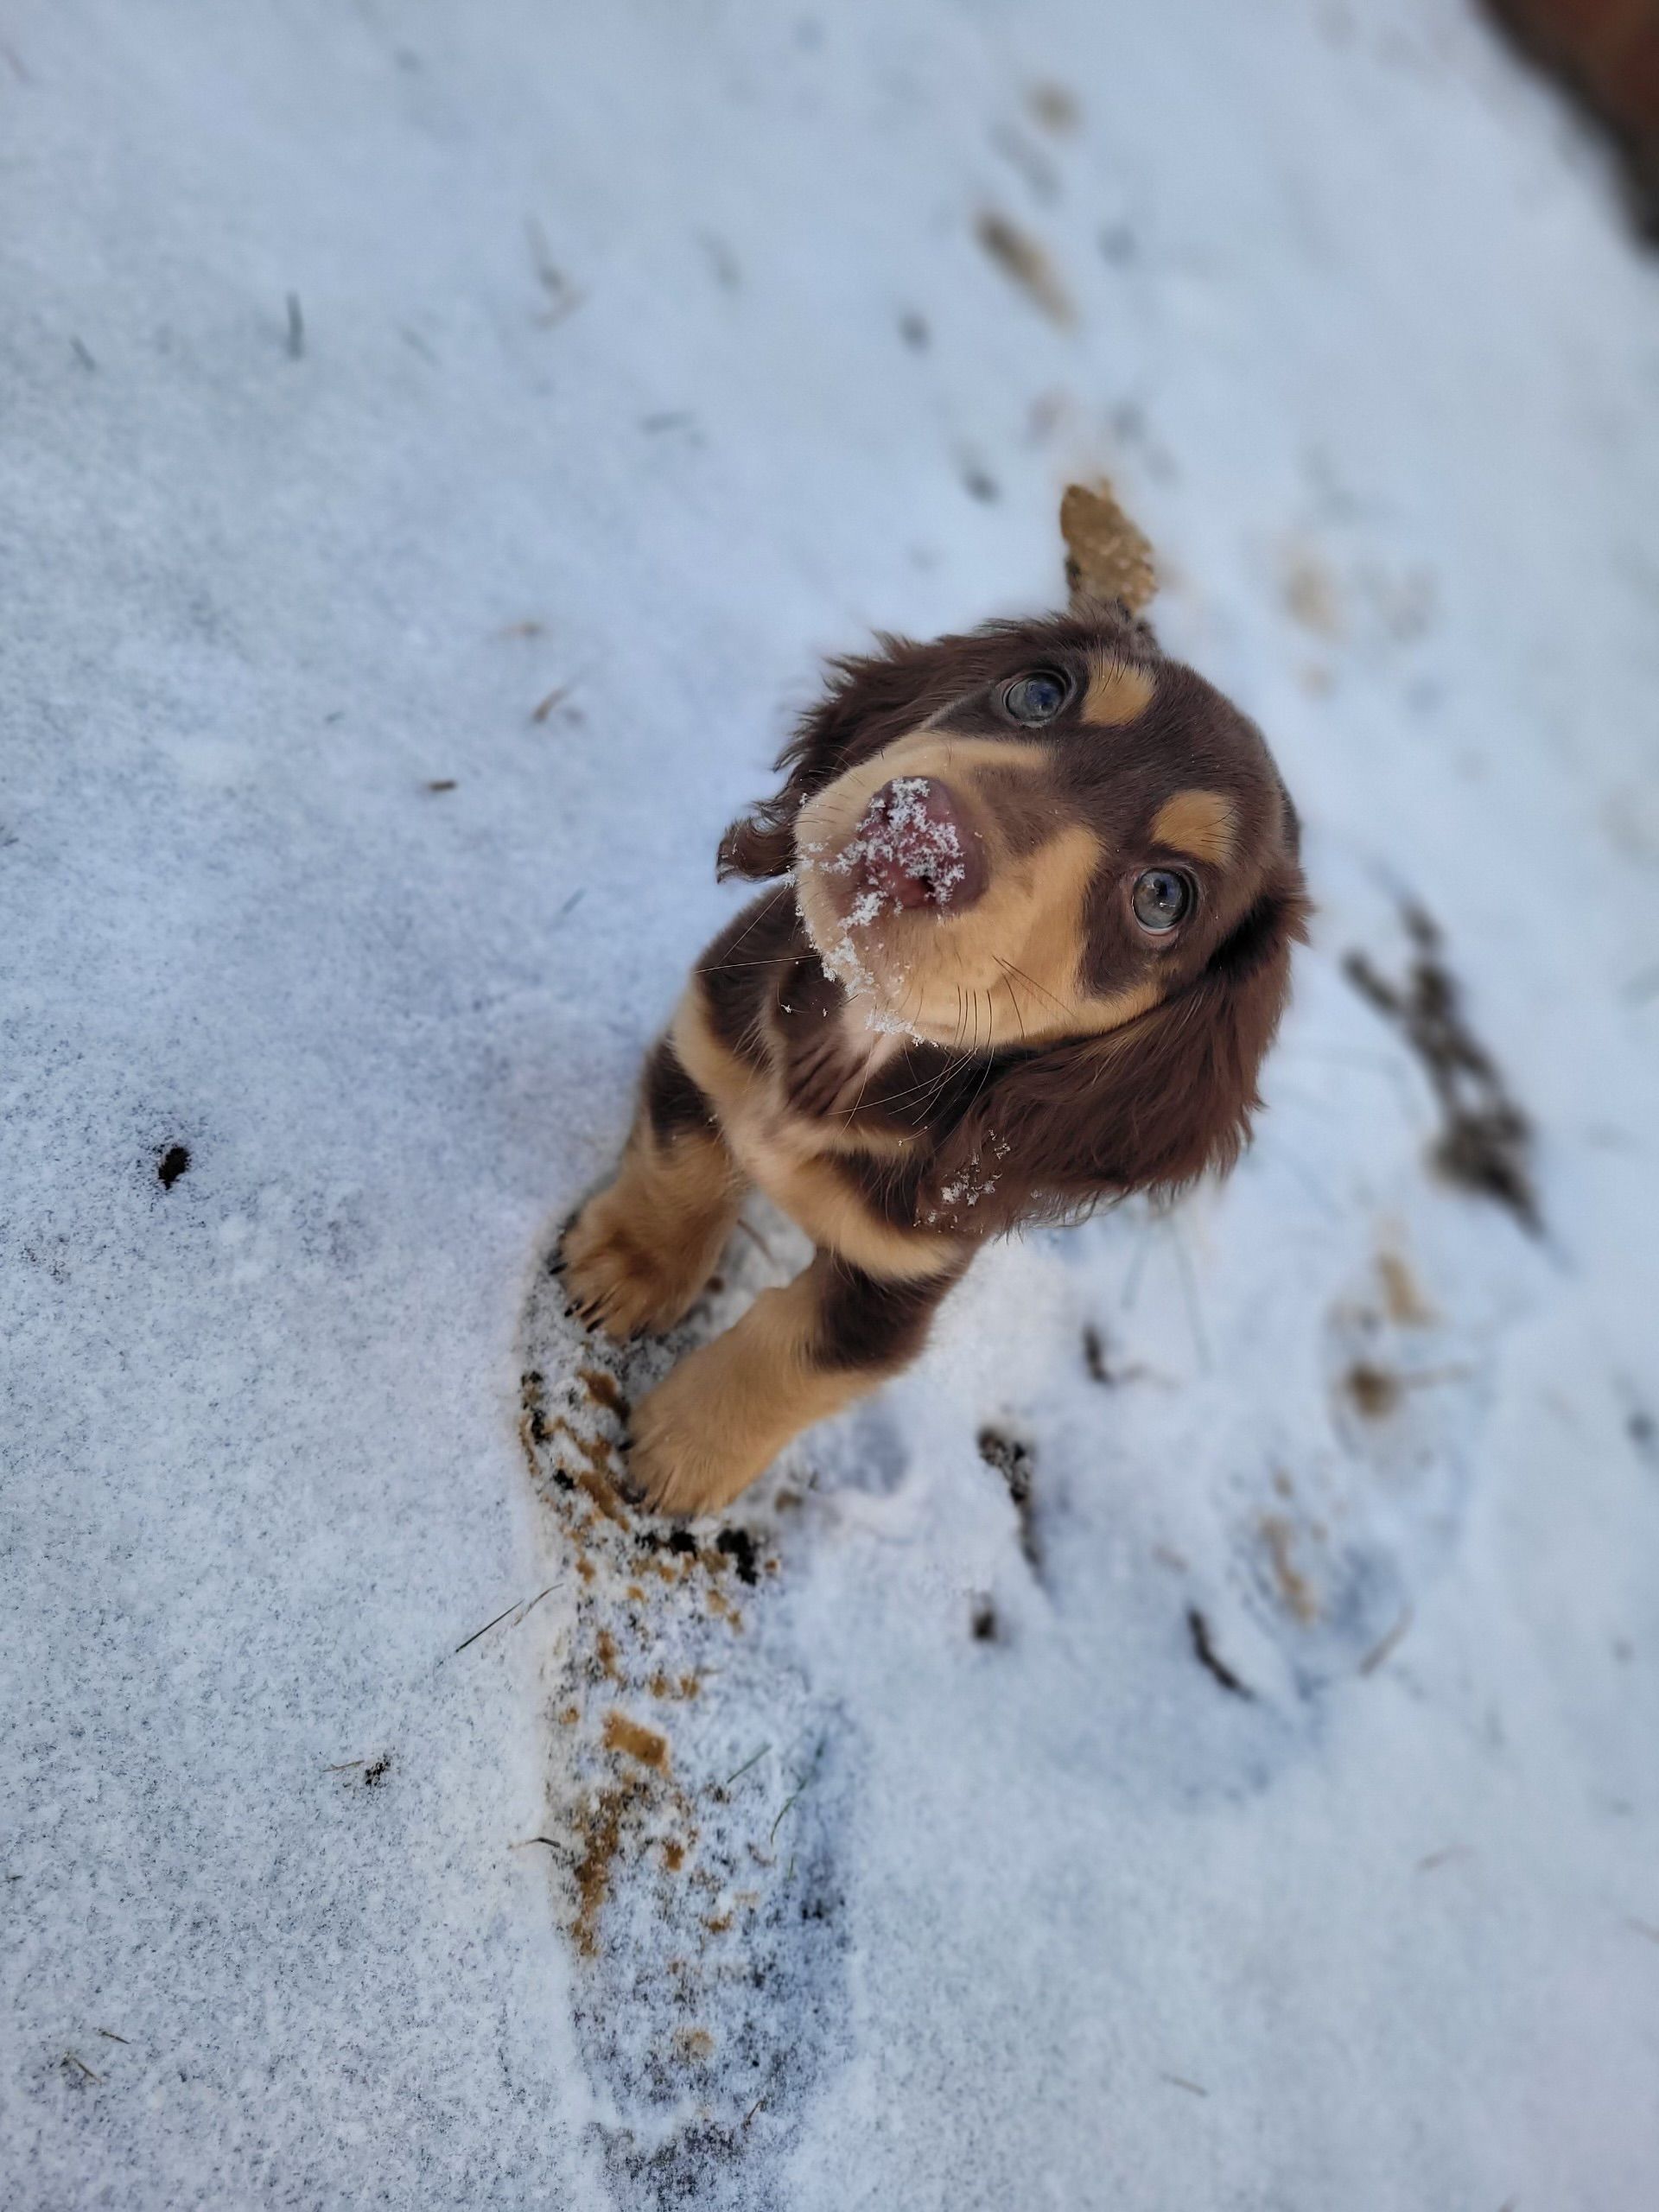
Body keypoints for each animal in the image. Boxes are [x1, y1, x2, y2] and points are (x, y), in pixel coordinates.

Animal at [562, 593, 1309, 1522]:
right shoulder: (708, 1035)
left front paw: (686, 1449)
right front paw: (629, 1267)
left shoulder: (903, 1277)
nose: (923, 834)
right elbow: (681, 1170)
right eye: (1037, 693)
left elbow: (798, 1353)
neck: (856, 1046)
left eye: (1164, 898)